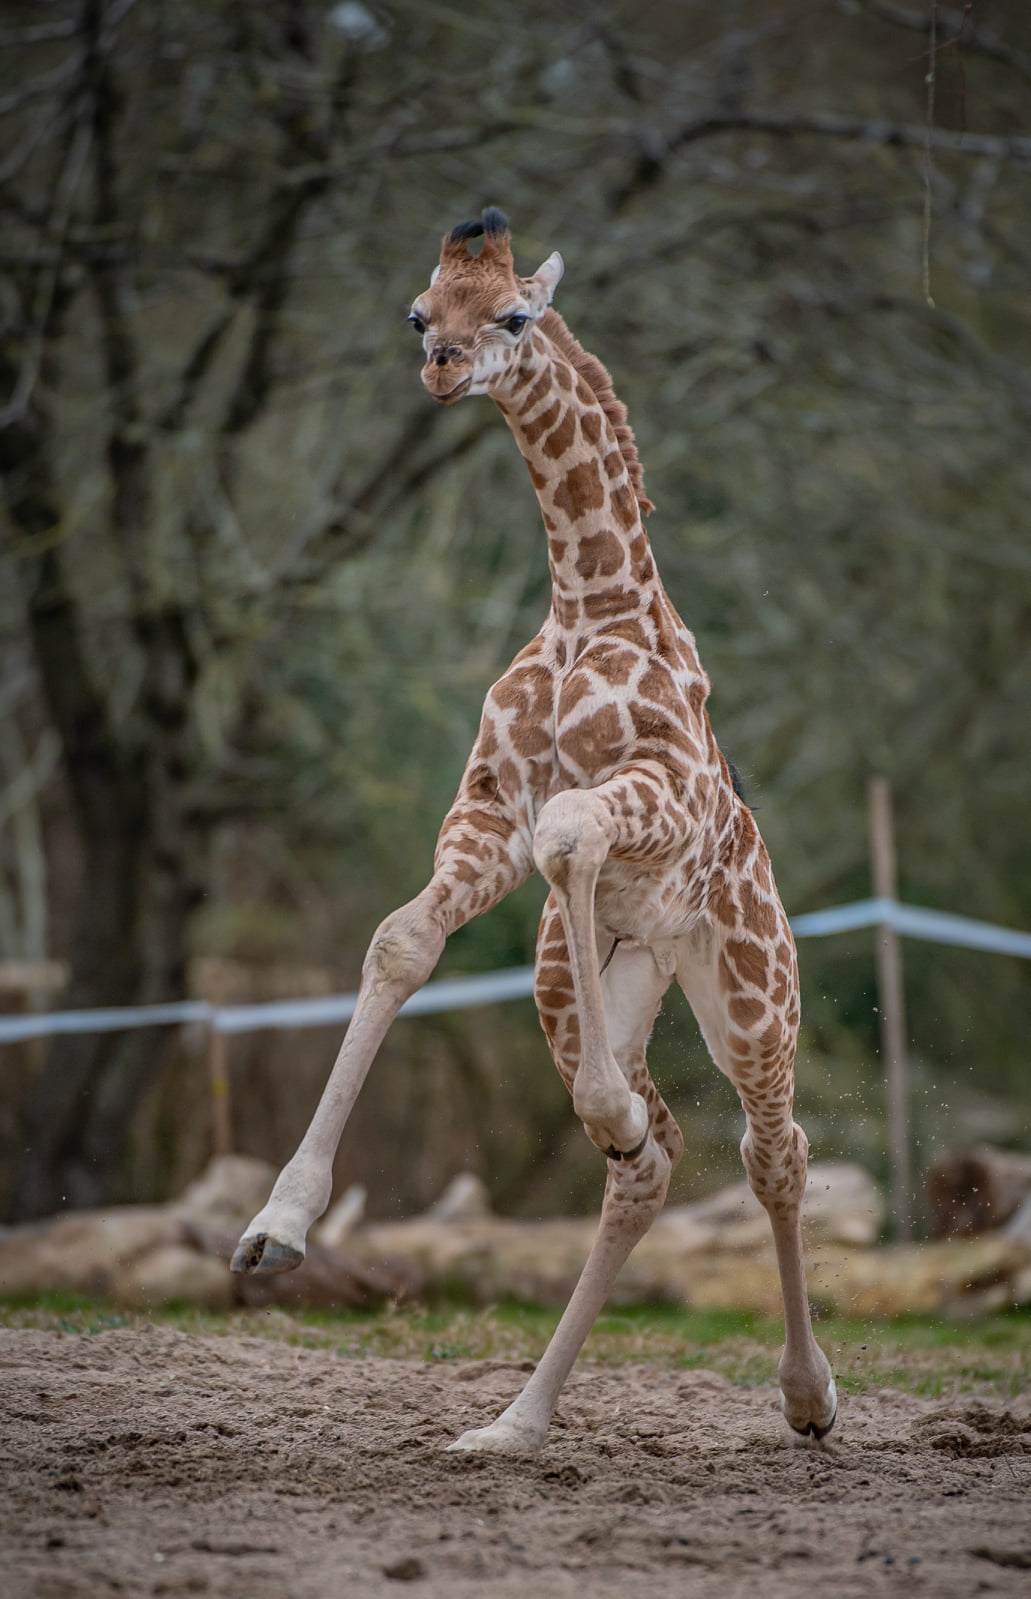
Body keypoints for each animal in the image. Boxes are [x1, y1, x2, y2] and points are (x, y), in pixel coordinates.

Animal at [228, 206, 831, 1458]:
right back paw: (514, 1422)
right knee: (651, 1163)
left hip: (751, 988)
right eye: (417, 311)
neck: (582, 601)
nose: (441, 367)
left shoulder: (648, 789)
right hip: (584, 979)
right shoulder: (486, 809)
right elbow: (400, 941)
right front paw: (276, 1227)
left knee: (772, 1150)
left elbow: (570, 834)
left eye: (512, 315)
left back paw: (807, 1399)